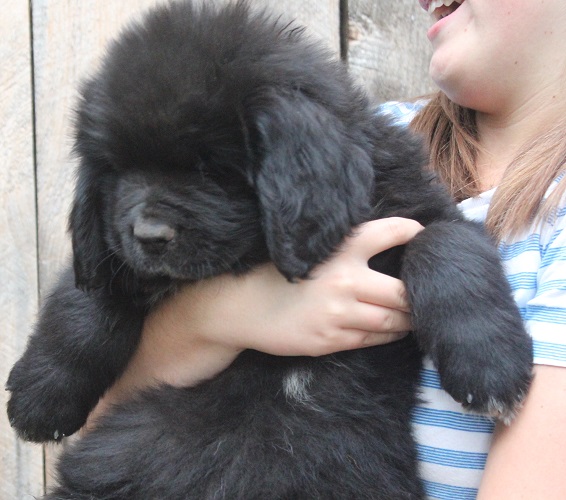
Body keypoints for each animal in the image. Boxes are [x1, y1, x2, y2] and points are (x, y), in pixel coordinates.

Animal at [6, 1, 536, 498]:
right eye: (116, 170)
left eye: (208, 169)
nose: (149, 235)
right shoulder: (110, 255)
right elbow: (85, 297)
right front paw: (41, 394)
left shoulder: (423, 210)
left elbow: (444, 244)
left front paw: (489, 368)